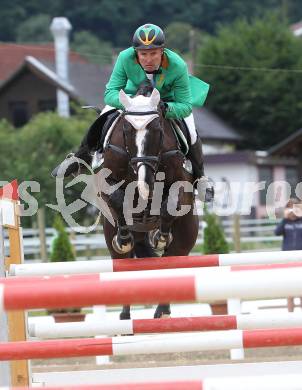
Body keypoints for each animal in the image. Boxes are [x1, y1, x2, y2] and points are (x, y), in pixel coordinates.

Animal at [99, 82, 199, 320]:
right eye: (126, 130)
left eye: (158, 130)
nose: (146, 184)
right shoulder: (107, 182)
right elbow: (117, 199)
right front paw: (124, 238)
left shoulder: (181, 187)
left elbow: (169, 205)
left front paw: (160, 237)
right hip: (112, 239)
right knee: (123, 263)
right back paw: (125, 316)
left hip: (185, 238)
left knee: (171, 262)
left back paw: (163, 311)